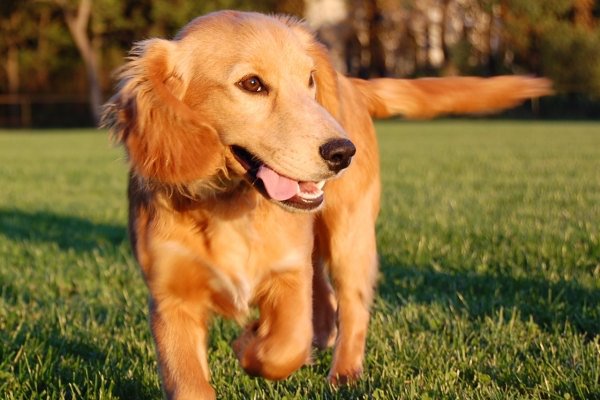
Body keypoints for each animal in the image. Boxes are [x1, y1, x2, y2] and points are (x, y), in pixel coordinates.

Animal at [102, 10, 548, 400]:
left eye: (309, 80)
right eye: (252, 84)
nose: (342, 152)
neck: (228, 203)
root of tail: (351, 81)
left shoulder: (288, 271)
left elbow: (283, 346)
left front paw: (249, 343)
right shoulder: (170, 298)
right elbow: (189, 382)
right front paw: (253, 340)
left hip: (351, 235)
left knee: (351, 306)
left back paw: (344, 371)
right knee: (325, 296)